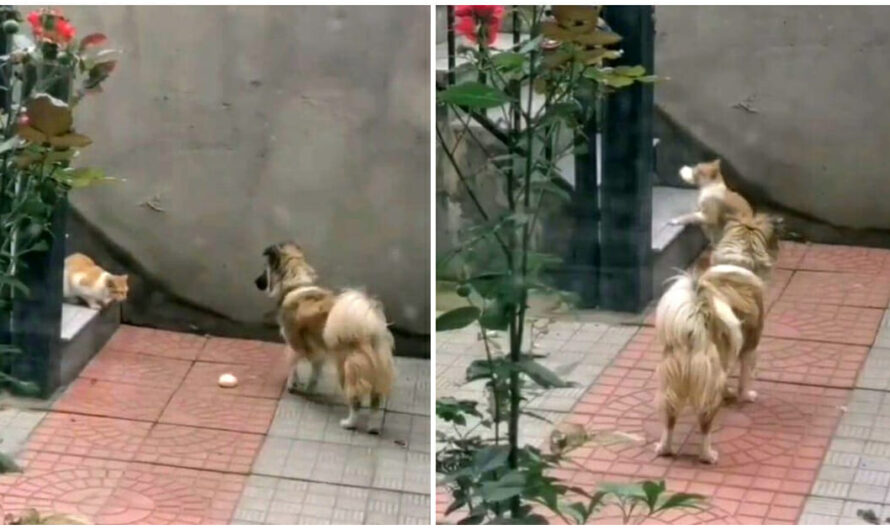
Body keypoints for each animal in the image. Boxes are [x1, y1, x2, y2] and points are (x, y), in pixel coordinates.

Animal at [251, 241, 394, 432]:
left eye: (264, 269)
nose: (255, 282)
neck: (296, 285)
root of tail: (371, 329)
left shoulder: (294, 344)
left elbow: (293, 366)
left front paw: (292, 385)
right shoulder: (317, 350)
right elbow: (314, 372)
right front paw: (309, 388)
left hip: (346, 369)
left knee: (355, 400)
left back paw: (349, 423)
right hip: (376, 372)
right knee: (375, 401)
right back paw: (373, 427)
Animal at [652, 264, 764, 462]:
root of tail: (693, 330)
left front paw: (728, 392)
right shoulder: (749, 347)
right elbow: (744, 379)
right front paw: (746, 395)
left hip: (671, 383)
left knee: (669, 419)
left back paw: (664, 448)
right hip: (708, 387)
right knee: (705, 424)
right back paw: (707, 455)